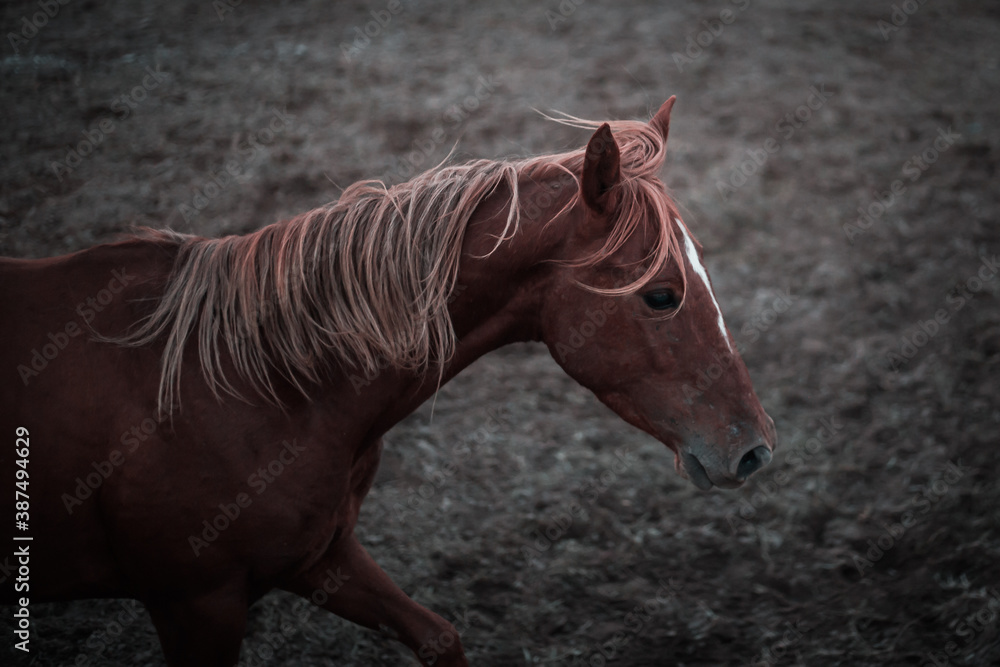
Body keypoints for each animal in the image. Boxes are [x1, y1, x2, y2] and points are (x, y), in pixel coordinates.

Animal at [0, 97, 775, 666]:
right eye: (662, 295)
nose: (755, 448)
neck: (257, 388)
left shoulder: (323, 555)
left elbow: (440, 638)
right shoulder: (197, 603)